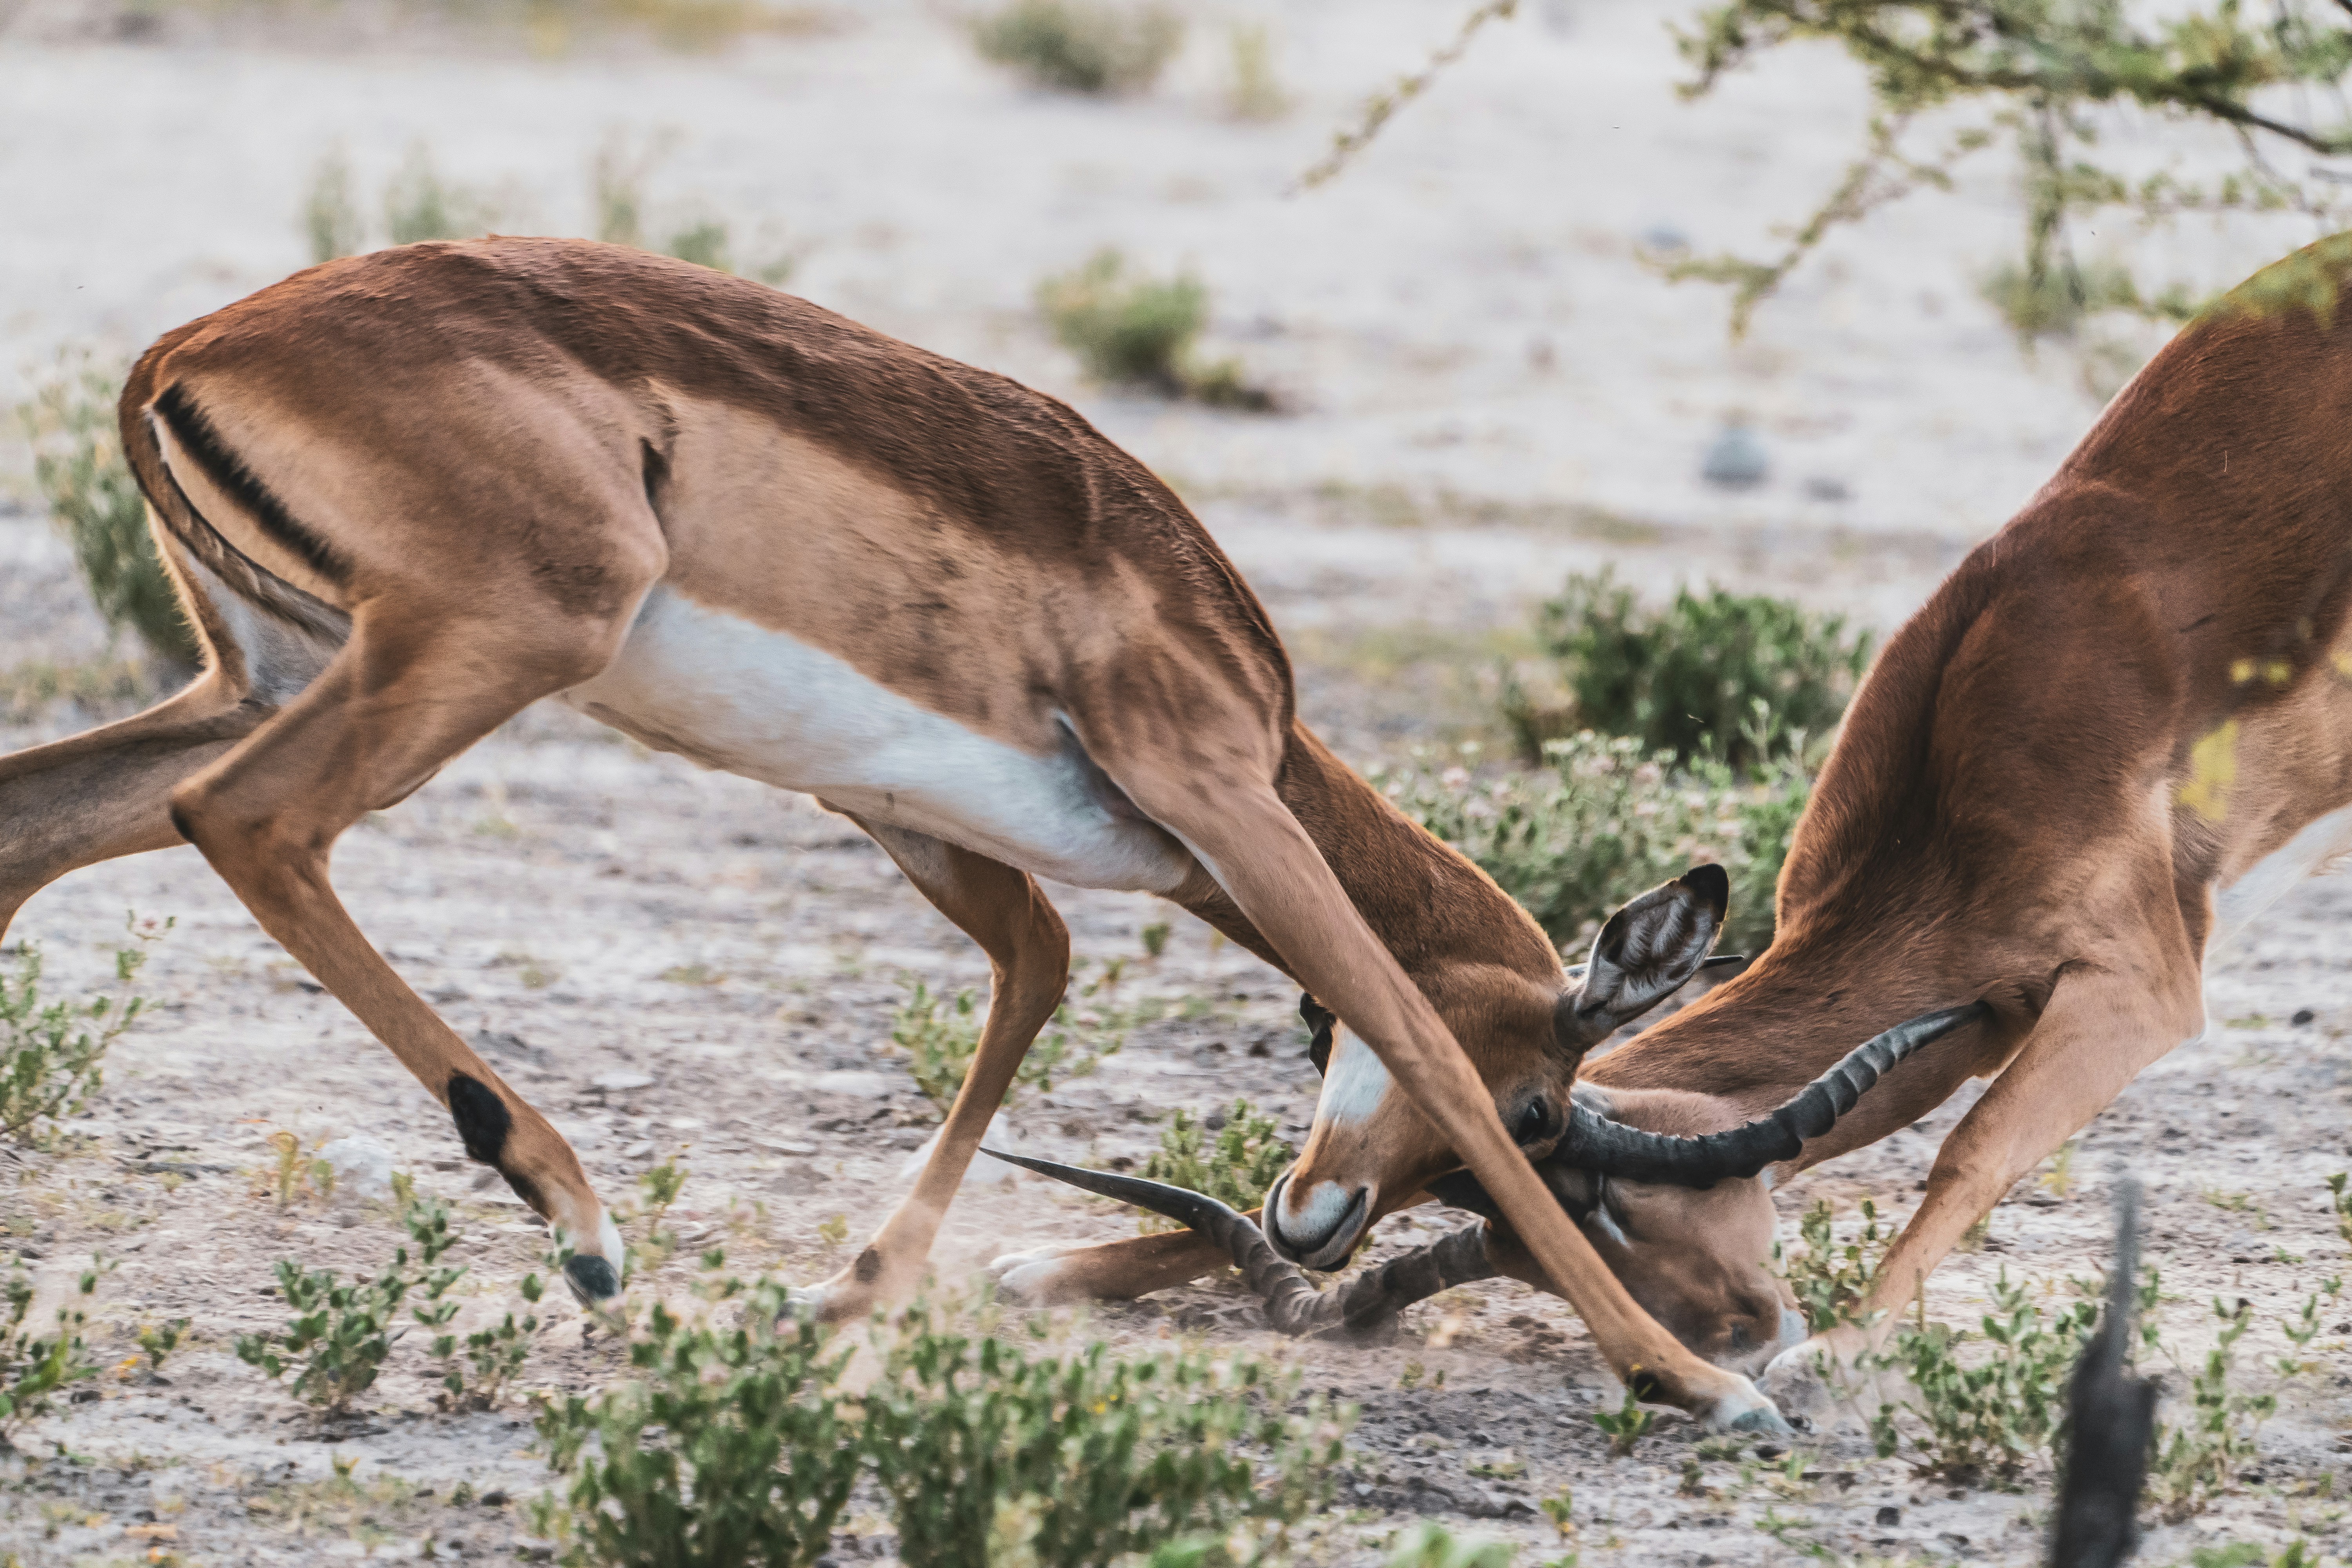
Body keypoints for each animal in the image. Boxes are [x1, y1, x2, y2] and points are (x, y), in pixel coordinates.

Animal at [0, 234, 1846, 1431]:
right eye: (1540, 1114)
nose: (1316, 1221)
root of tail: (192, 347)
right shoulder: (1218, 795)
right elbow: (1405, 1020)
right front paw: (1692, 1381)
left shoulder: (910, 814)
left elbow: (1037, 969)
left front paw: (846, 1297)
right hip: (489, 644)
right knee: (248, 819)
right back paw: (578, 1217)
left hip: (271, 663)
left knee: (42, 820)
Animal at [983, 233, 2352, 1419]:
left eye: (1549, 1136)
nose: (1740, 1333)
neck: (1979, 765)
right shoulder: (1981, 1013)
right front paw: (1051, 1265)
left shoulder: (2136, 989)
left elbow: (1969, 1153)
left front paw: (1843, 1351)